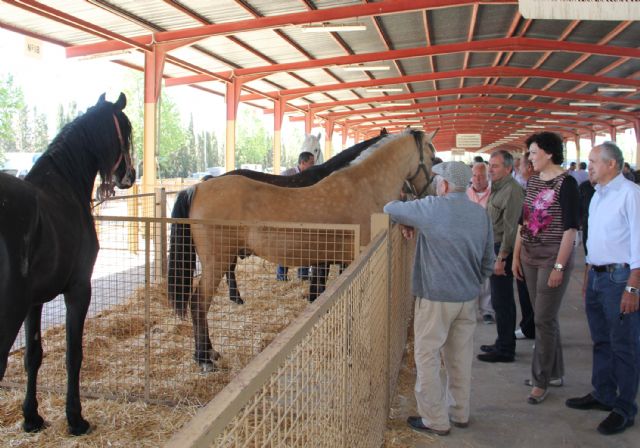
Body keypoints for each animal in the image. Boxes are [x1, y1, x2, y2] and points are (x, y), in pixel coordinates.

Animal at [0, 93, 135, 434]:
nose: (130, 175)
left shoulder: (33, 303)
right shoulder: (78, 290)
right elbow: (74, 355)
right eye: (126, 132)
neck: (64, 187)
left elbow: (33, 355)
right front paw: (76, 419)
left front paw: (31, 417)